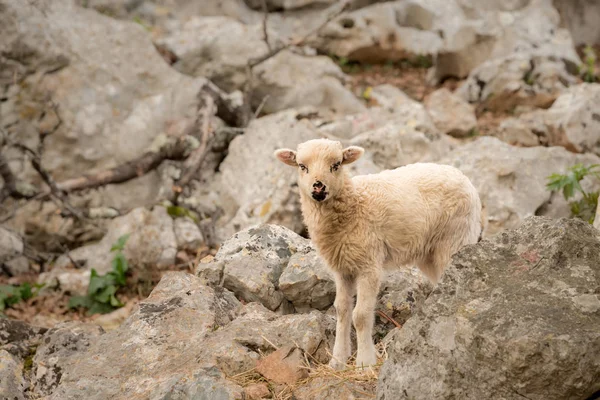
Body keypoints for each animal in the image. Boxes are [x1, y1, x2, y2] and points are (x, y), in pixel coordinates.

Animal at [274, 139, 480, 370]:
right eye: (302, 166)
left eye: (336, 165)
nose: (318, 186)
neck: (353, 204)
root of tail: (462, 177)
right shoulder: (342, 269)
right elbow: (342, 311)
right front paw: (338, 361)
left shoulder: (369, 264)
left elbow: (361, 316)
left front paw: (365, 363)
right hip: (430, 253)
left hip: (455, 239)